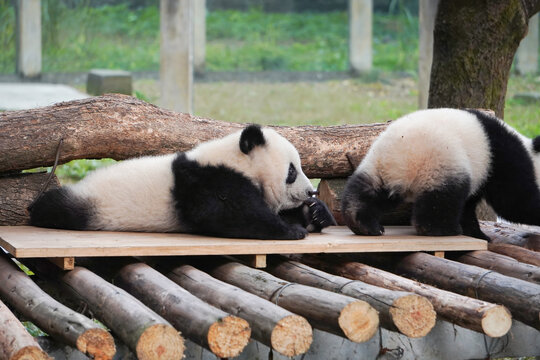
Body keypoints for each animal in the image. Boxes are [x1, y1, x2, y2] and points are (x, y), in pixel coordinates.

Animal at [29, 125, 336, 240]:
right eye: (292, 171)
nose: (310, 190)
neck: (237, 160)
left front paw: (314, 213)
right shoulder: (208, 181)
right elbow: (228, 215)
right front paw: (291, 230)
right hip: (89, 202)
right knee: (56, 207)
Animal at [342, 108, 540, 240]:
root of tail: (399, 159)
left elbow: (470, 205)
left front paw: (477, 234)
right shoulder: (504, 159)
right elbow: (514, 203)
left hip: (377, 165)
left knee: (366, 191)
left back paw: (363, 224)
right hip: (441, 161)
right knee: (443, 198)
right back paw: (442, 229)